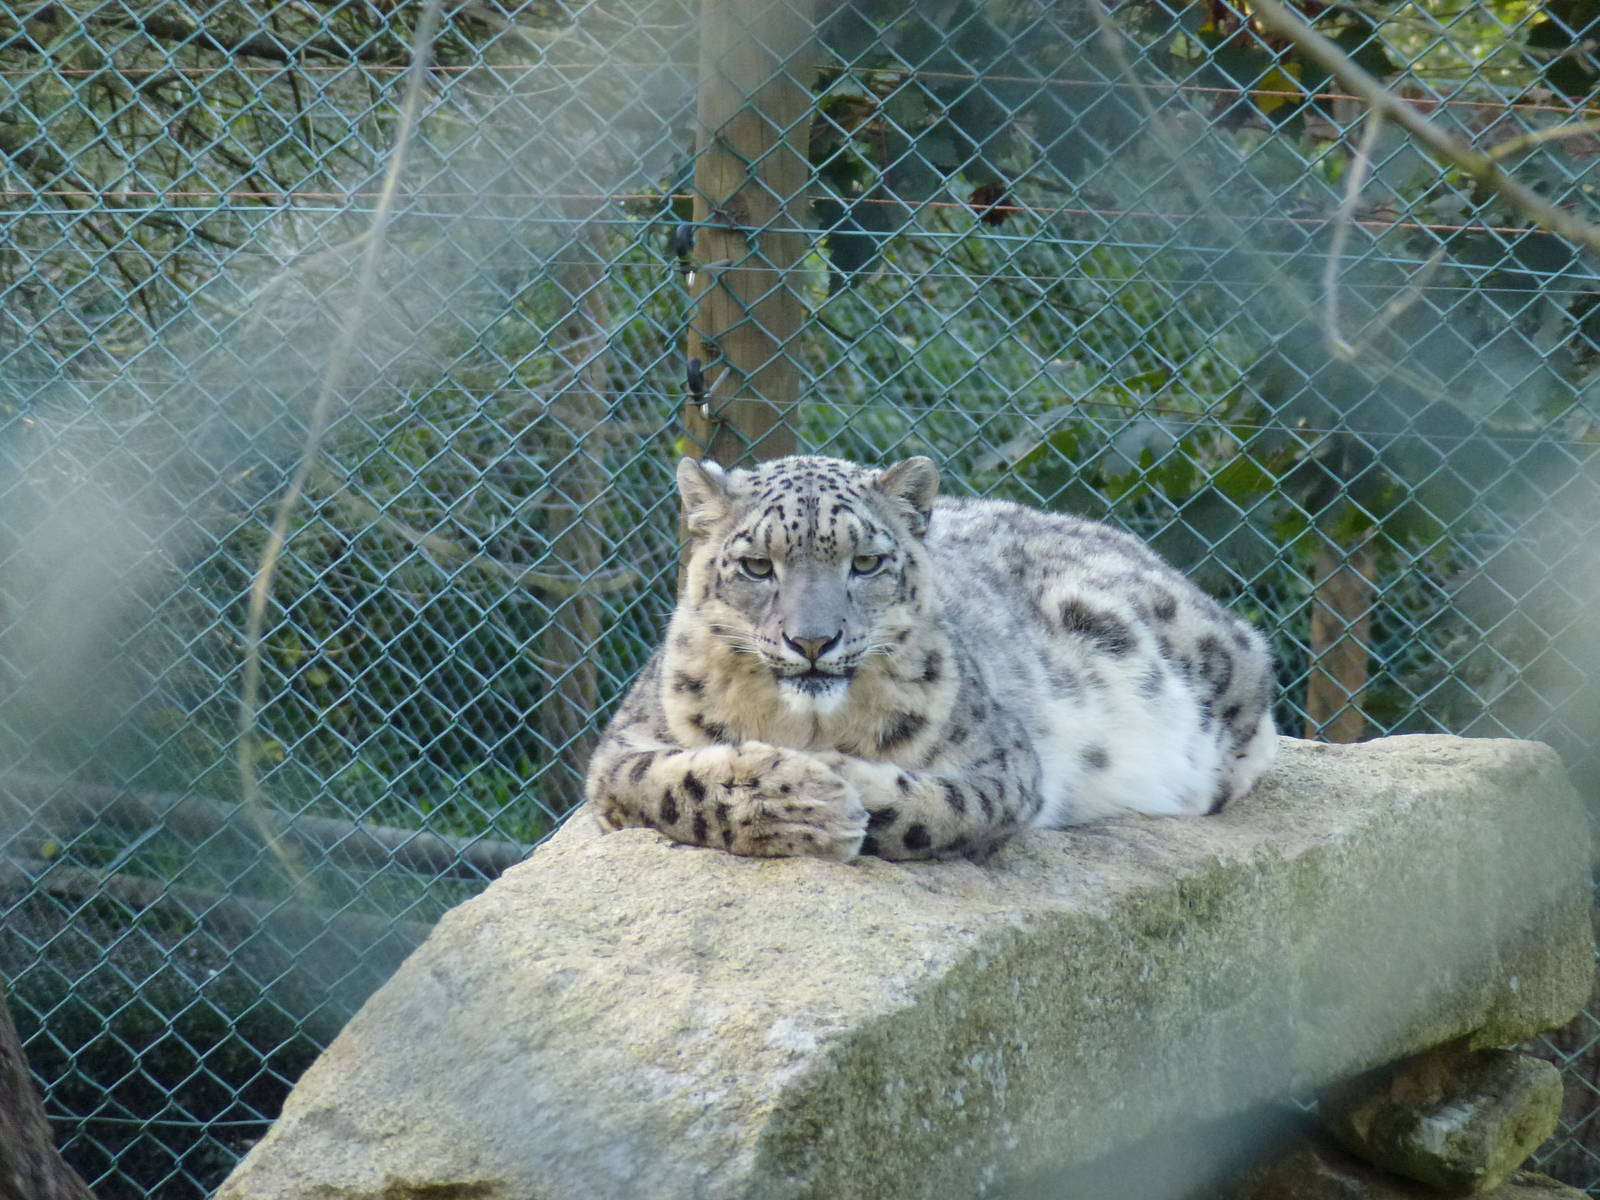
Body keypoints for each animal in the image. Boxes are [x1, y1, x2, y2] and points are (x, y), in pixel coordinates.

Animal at [583, 454, 1278, 861]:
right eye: (757, 565)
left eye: (865, 562)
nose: (812, 641)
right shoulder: (621, 749)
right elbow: (670, 786)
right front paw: (808, 802)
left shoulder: (1003, 760)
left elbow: (936, 808)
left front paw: (838, 787)